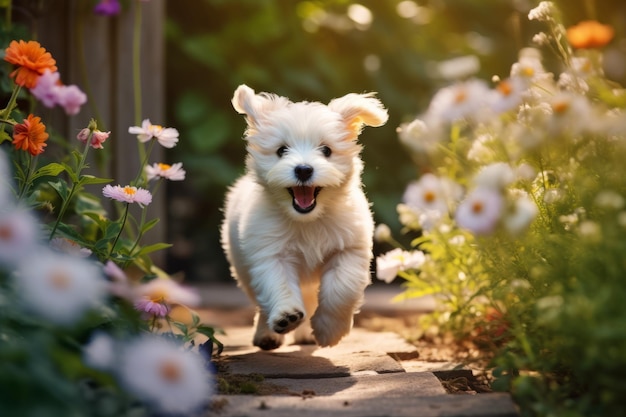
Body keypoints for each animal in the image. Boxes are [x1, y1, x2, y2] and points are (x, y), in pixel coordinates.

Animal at [219, 83, 386, 348]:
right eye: (281, 150)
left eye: (326, 150)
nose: (304, 169)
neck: (307, 220)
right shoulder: (270, 253)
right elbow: (279, 284)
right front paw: (286, 315)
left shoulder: (348, 250)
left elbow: (340, 289)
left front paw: (328, 331)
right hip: (242, 265)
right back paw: (267, 334)